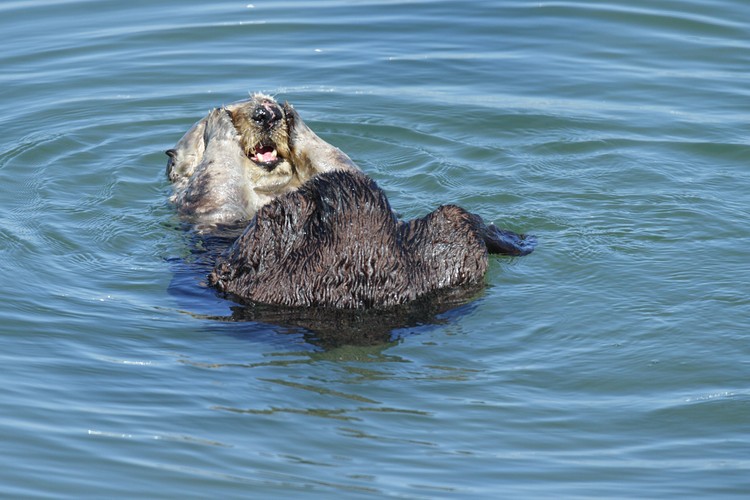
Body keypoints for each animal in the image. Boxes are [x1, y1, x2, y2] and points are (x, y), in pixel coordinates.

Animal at [166, 93, 357, 232]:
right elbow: (216, 190)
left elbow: (343, 167)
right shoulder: (209, 211)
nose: (266, 113)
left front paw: (293, 116)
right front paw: (219, 118)